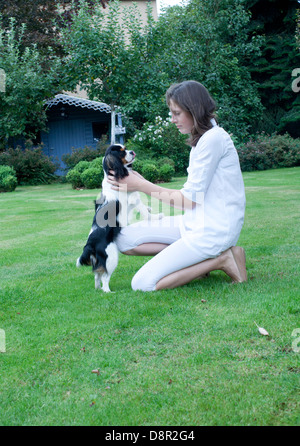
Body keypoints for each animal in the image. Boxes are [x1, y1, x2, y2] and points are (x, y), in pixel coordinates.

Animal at [76, 144, 163, 292]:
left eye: (126, 148)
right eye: (122, 152)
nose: (132, 151)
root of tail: (89, 245)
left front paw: (150, 209)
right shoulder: (134, 198)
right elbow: (144, 211)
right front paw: (156, 216)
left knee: (97, 275)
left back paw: (97, 289)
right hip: (111, 258)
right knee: (104, 277)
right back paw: (108, 292)